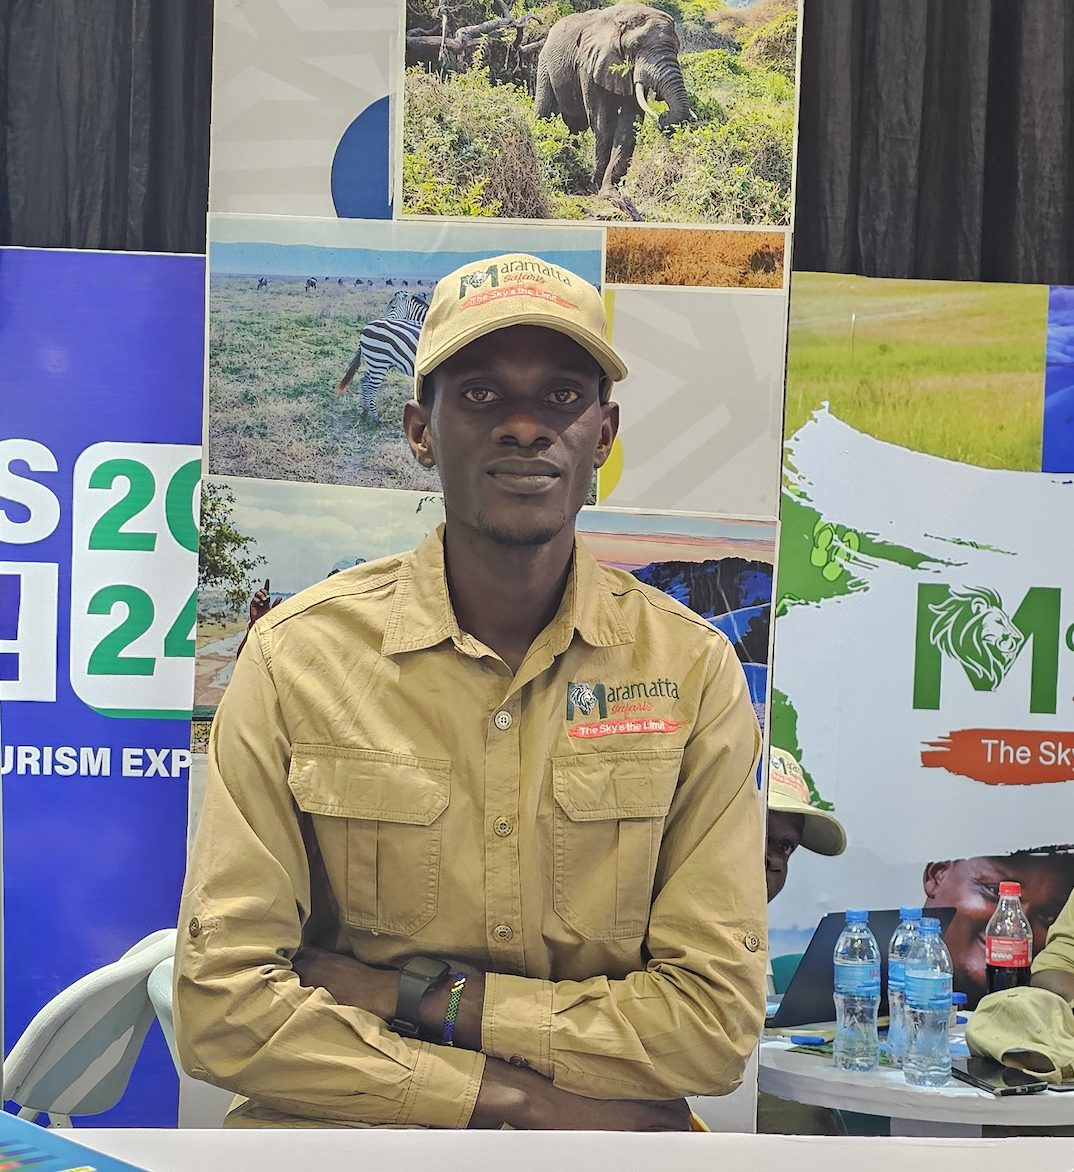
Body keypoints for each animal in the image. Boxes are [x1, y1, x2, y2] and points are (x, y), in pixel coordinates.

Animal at [340, 290, 431, 424]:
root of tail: (367, 327)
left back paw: (364, 412)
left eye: (392, 307)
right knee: (372, 387)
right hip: (379, 363)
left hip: (376, 362)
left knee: (364, 380)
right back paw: (376, 419)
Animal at [532, 2, 694, 200]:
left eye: (678, 47)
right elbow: (603, 122)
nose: (662, 116)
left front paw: (610, 193)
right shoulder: (590, 63)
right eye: (635, 46)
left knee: (575, 126)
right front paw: (596, 189)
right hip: (545, 65)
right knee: (544, 113)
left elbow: (629, 124)